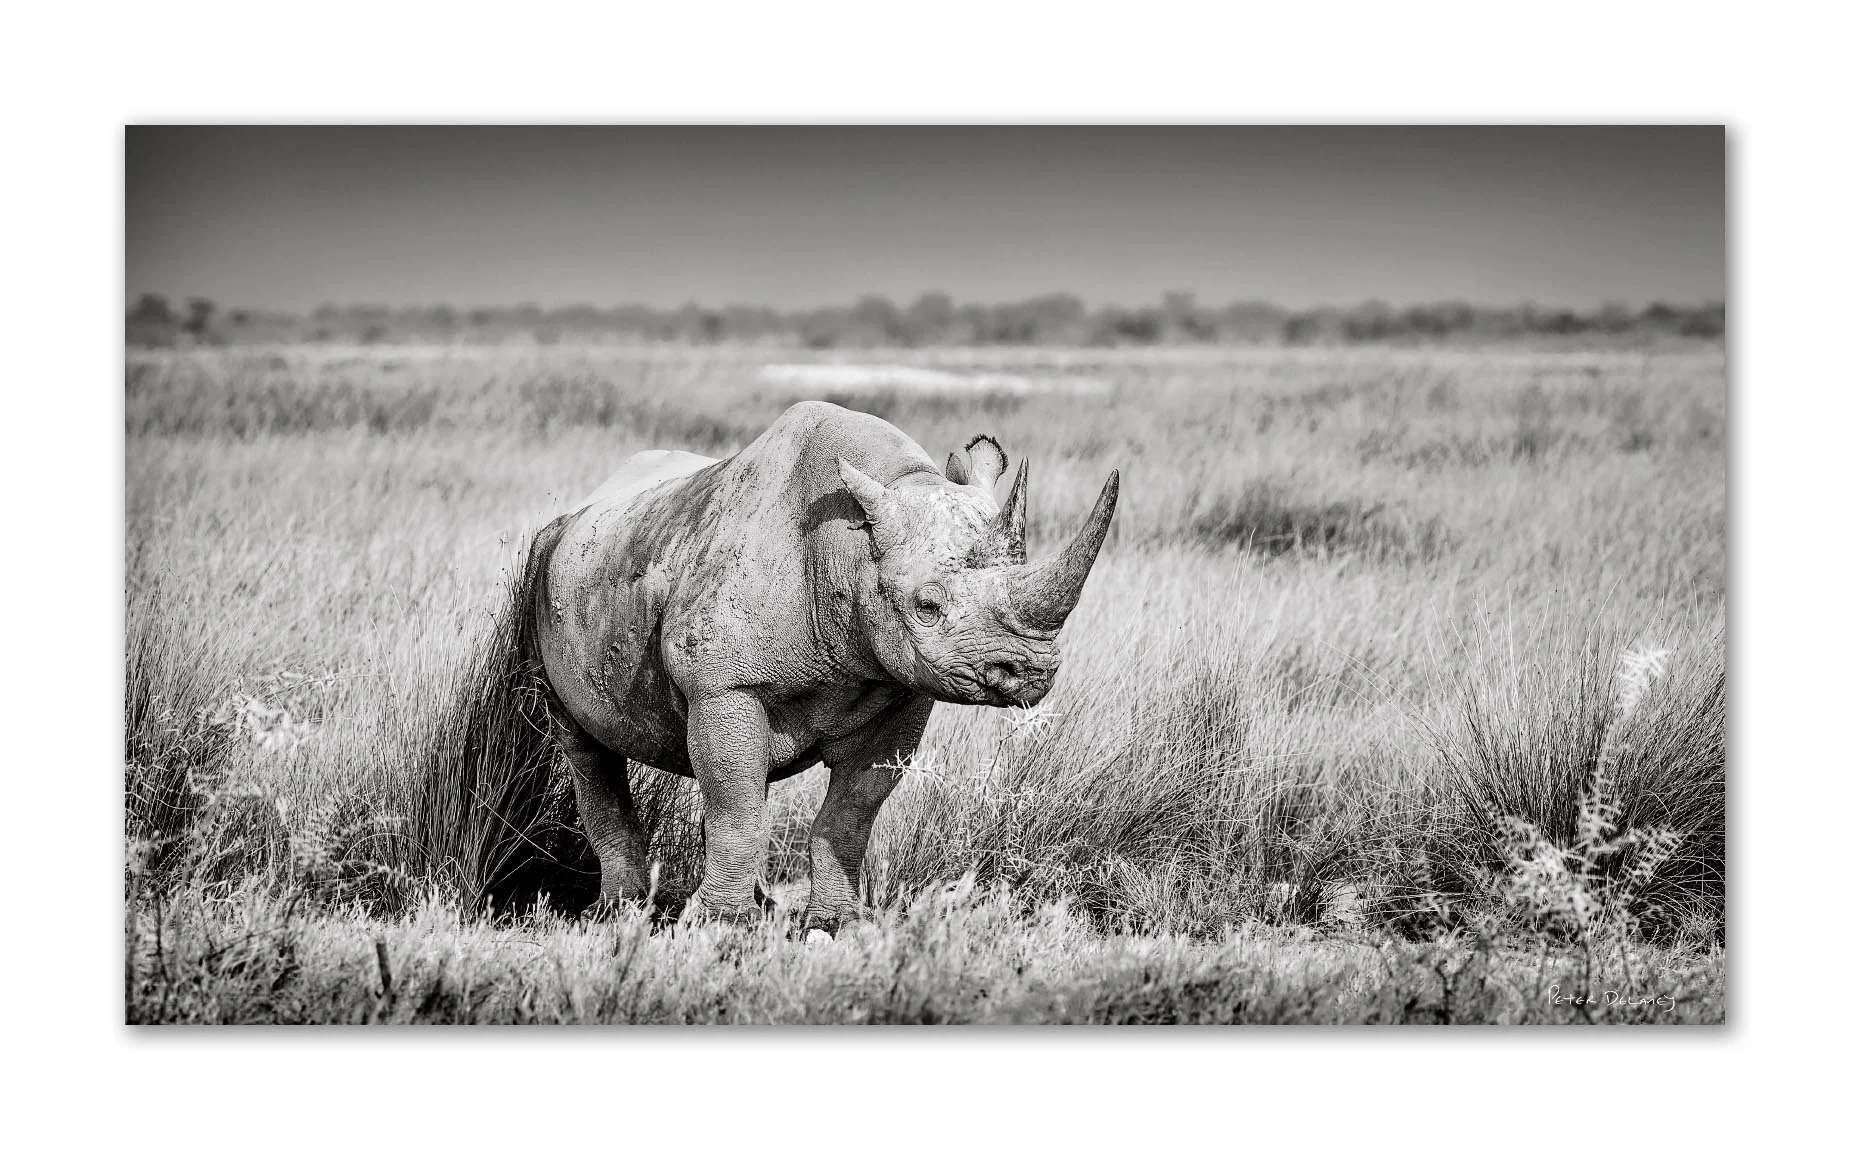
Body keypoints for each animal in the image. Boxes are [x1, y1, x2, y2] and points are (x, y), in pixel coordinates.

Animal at [523, 400, 1119, 932]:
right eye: (926, 607)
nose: (1032, 671)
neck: (850, 549)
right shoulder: (725, 687)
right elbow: (736, 807)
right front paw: (717, 927)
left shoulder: (899, 688)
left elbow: (851, 810)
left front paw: (833, 926)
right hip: (540, 569)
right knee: (585, 746)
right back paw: (618, 912)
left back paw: (756, 908)